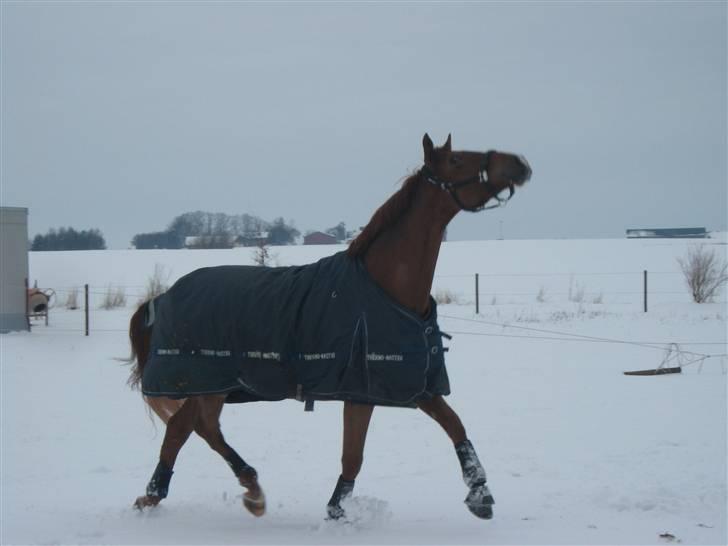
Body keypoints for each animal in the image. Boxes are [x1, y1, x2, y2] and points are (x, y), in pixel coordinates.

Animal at [128, 133, 532, 520]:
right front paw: (337, 511)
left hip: (214, 387)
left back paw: (211, 492)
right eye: (457, 159)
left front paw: (479, 494)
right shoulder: (365, 390)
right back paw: (204, 493)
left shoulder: (409, 387)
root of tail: (162, 297)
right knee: (192, 429)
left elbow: (453, 426)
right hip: (207, 384)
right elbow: (354, 456)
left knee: (193, 428)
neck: (386, 288)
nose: (519, 163)